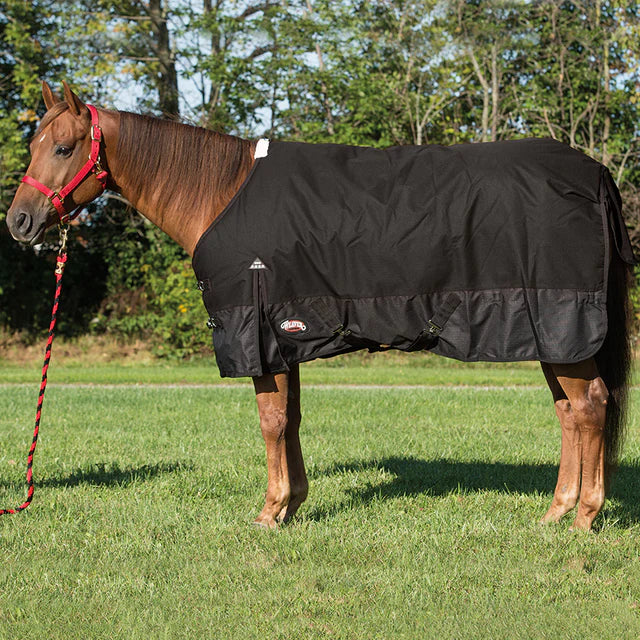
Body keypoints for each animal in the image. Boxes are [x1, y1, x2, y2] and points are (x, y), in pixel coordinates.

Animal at [6, 82, 635, 531]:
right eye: (33, 145)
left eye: (62, 147)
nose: (20, 222)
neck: (221, 193)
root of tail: (595, 174)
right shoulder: (287, 336)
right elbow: (292, 418)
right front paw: (293, 505)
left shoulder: (256, 333)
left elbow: (270, 420)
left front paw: (269, 512)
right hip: (549, 336)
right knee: (569, 413)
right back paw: (556, 512)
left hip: (563, 327)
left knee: (591, 407)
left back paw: (584, 519)